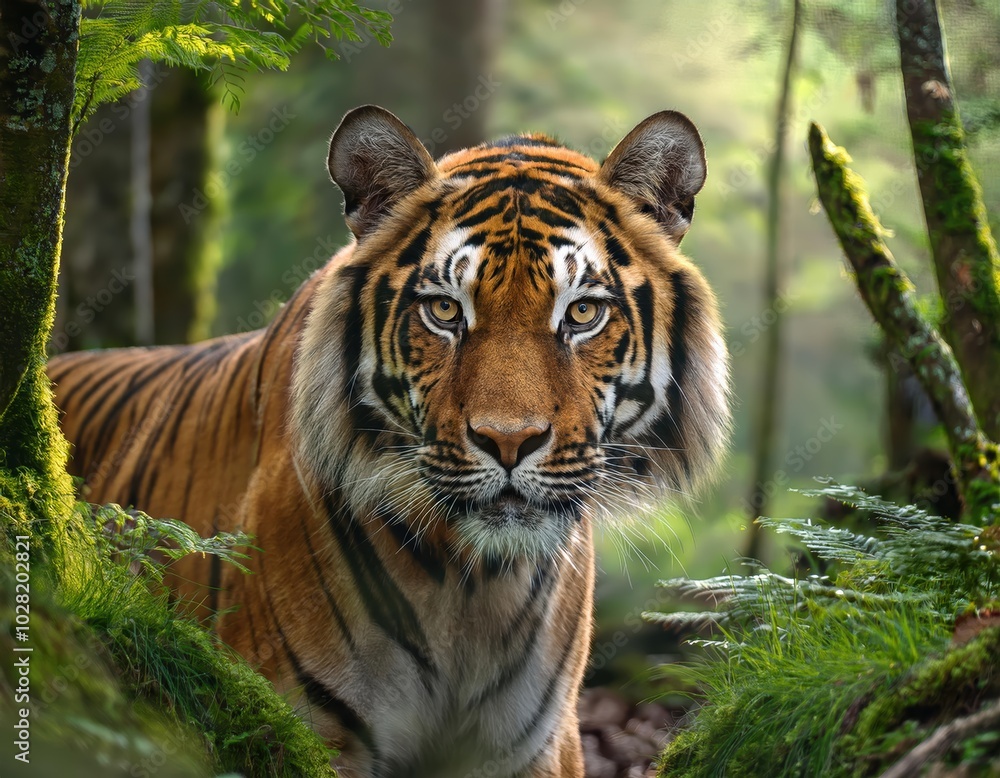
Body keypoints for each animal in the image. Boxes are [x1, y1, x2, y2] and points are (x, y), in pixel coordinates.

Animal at [48, 105, 731, 777]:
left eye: (583, 313)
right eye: (446, 311)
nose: (508, 442)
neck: (475, 587)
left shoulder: (532, 746)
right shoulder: (307, 730)